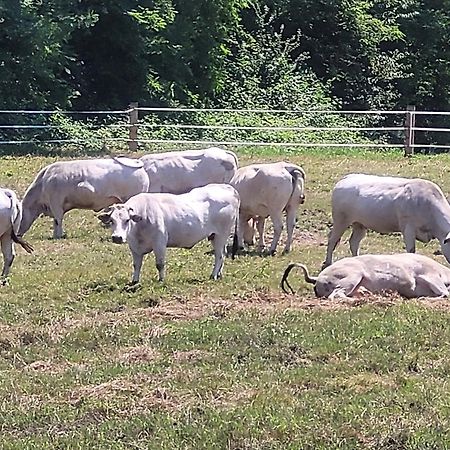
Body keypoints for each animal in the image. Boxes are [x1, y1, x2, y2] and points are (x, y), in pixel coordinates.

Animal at [97, 184, 241, 284]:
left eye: (127, 220)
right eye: (111, 220)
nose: (117, 237)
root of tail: (228, 187)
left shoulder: (159, 243)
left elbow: (160, 264)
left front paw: (161, 280)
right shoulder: (134, 247)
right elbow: (136, 265)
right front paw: (135, 281)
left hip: (221, 234)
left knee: (219, 256)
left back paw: (213, 275)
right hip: (216, 236)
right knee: (223, 254)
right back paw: (219, 274)